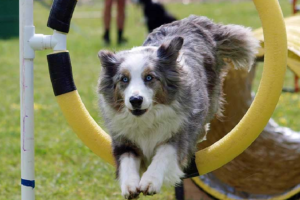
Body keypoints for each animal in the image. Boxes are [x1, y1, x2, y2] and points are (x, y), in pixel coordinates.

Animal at [97, 15, 258, 198]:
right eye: (124, 79)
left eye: (149, 77)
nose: (135, 100)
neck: (147, 118)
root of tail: (195, 21)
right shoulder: (123, 140)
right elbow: (127, 162)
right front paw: (129, 186)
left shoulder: (178, 133)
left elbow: (163, 155)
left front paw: (150, 182)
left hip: (211, 96)